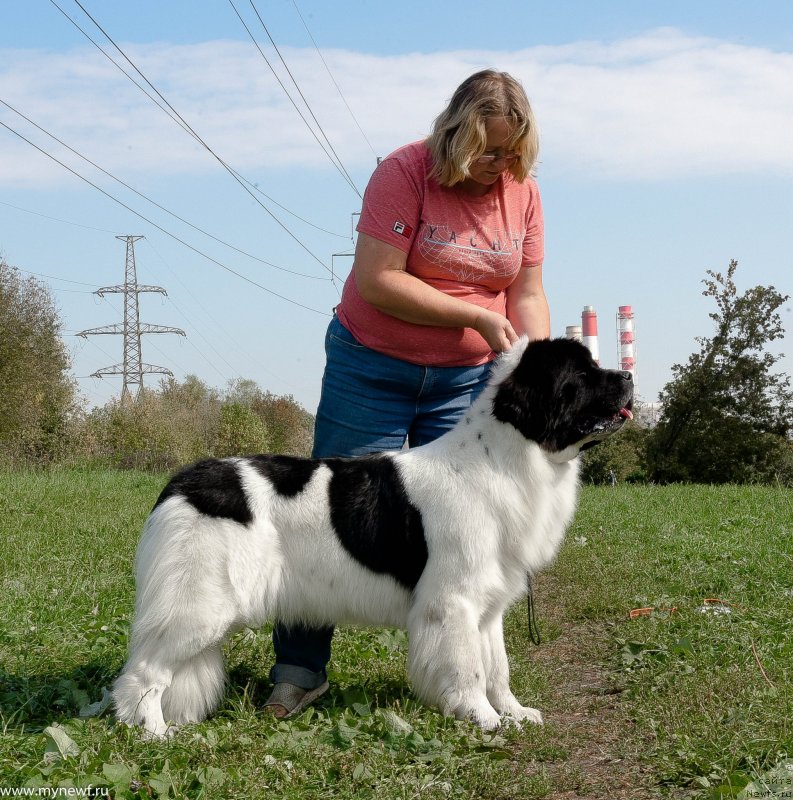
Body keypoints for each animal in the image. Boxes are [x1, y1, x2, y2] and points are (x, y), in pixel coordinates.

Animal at [113, 338, 632, 736]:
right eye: (583, 373)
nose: (628, 375)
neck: (504, 457)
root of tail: (182, 482)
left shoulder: (488, 607)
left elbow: (498, 667)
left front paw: (514, 712)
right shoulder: (454, 603)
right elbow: (470, 667)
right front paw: (482, 718)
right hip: (198, 603)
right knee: (143, 671)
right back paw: (154, 732)